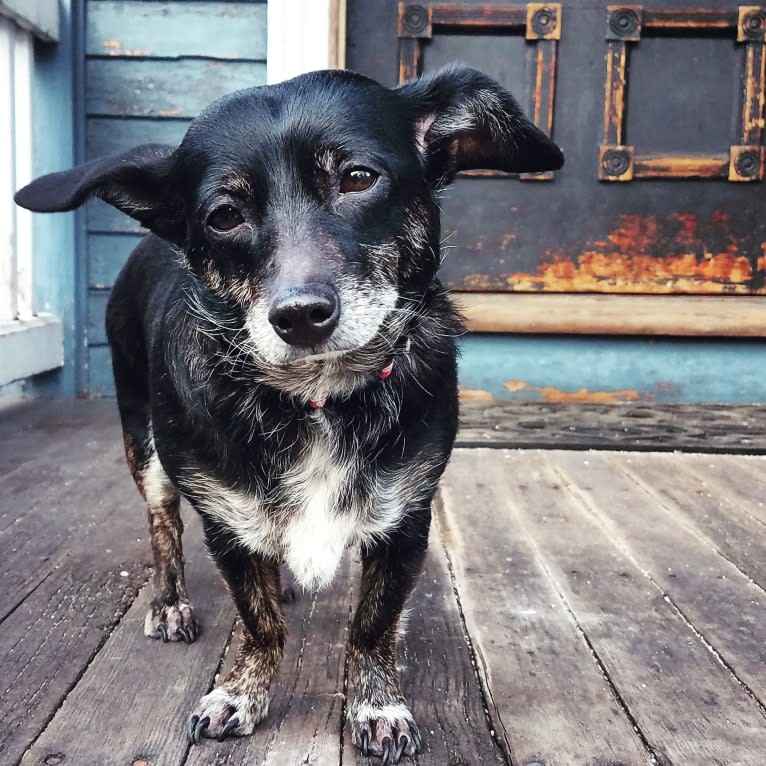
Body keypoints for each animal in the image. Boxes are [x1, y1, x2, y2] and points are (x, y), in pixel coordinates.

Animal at [13, 64, 564, 760]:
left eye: (357, 178)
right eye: (224, 216)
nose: (300, 315)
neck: (317, 398)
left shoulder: (405, 523)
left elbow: (371, 625)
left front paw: (377, 704)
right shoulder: (227, 524)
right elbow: (260, 621)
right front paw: (241, 693)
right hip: (147, 446)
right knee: (162, 525)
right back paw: (169, 600)